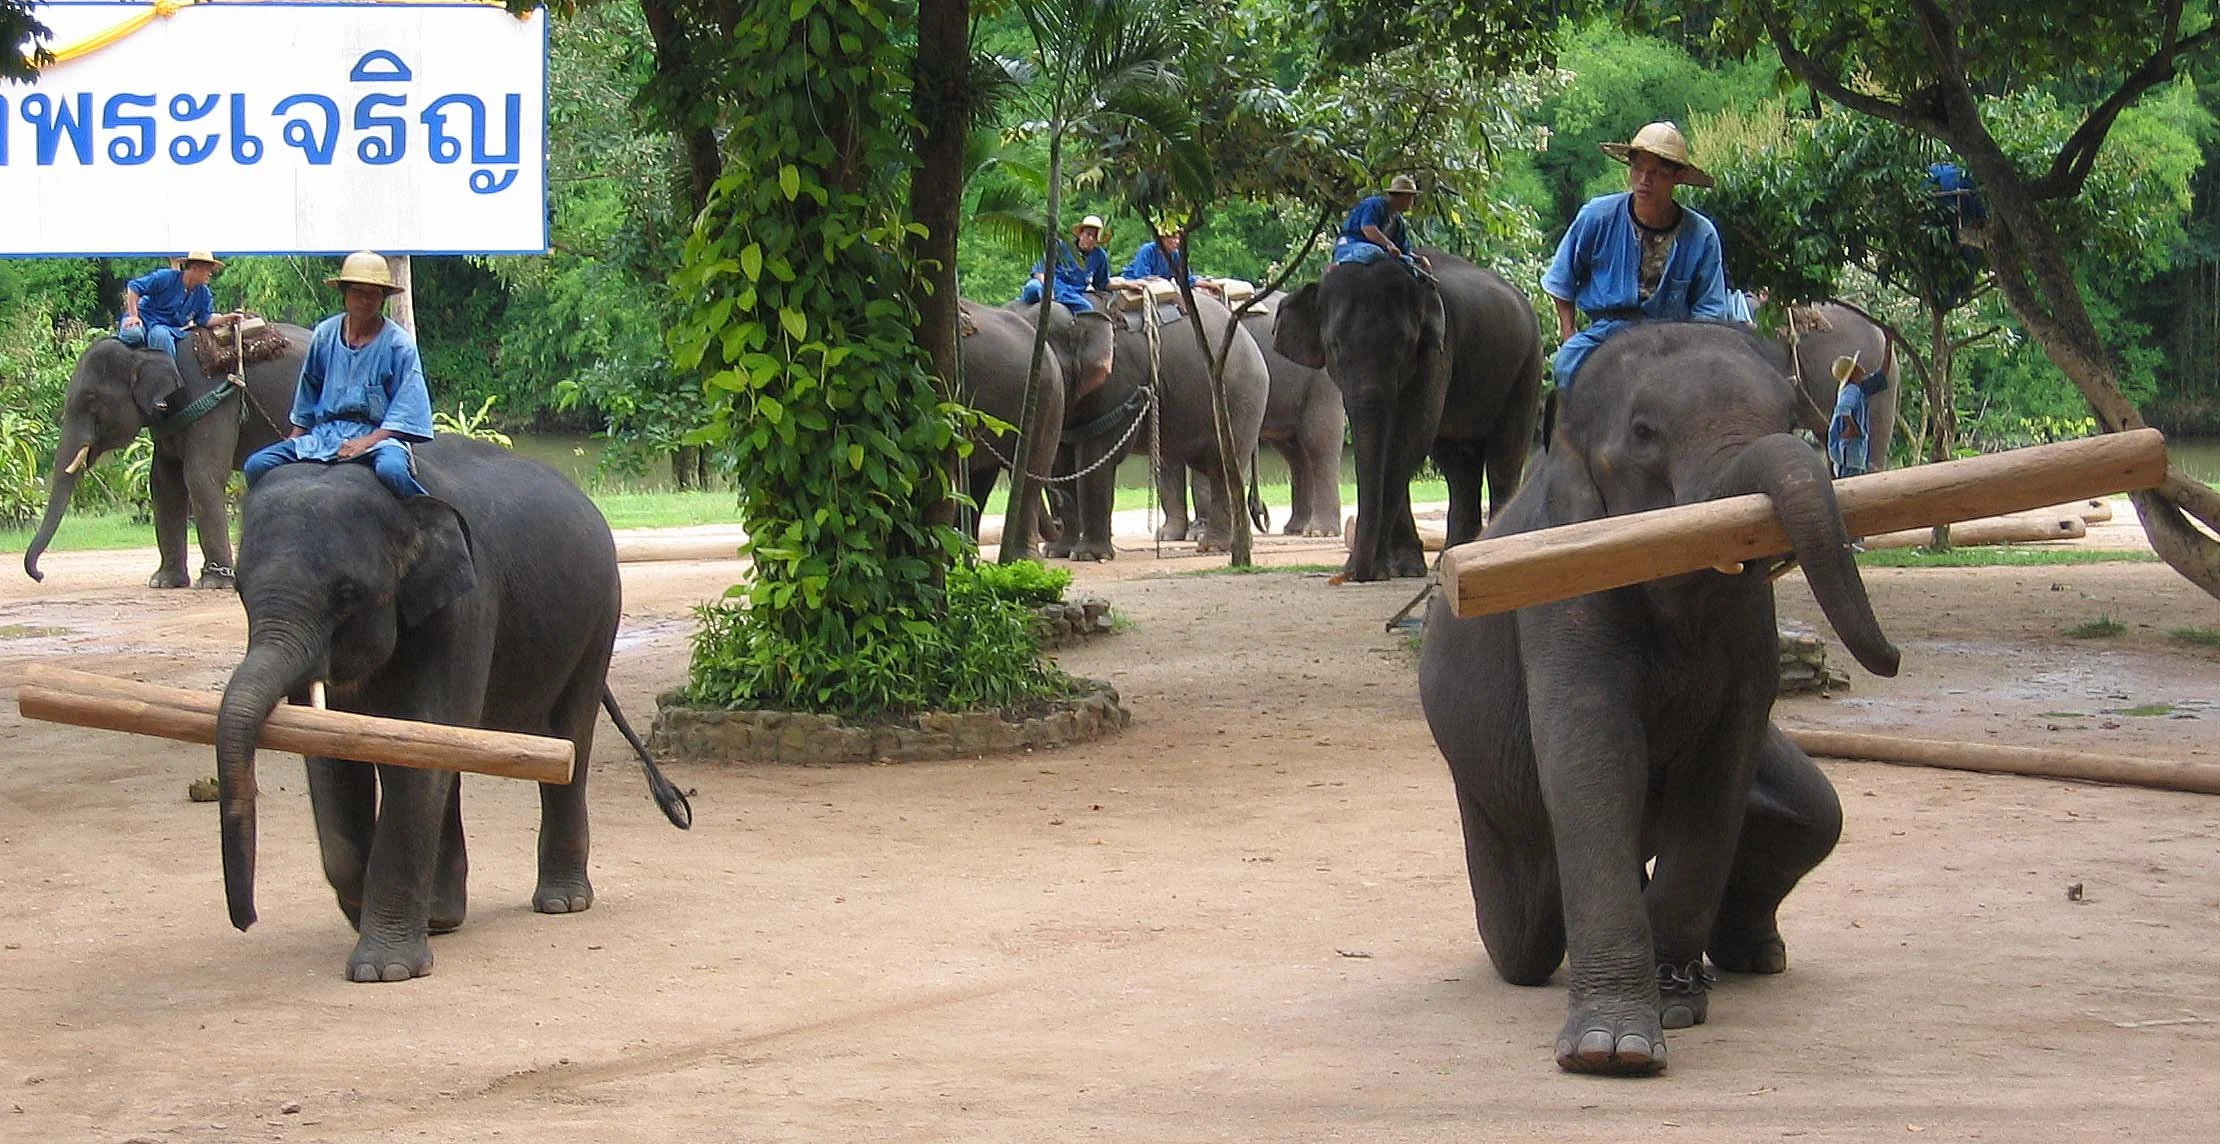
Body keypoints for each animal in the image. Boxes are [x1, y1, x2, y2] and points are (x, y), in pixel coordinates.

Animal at [24, 328, 310, 589]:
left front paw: (215, 583)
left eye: (91, 401)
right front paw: (164, 582)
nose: (40, 575)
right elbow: (164, 483)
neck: (143, 350)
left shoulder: (213, 398)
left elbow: (200, 475)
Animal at [213, 436, 691, 982]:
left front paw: (384, 971)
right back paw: (443, 918)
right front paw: (376, 914)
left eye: (348, 593)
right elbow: (341, 755)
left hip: (599, 617)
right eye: (239, 591)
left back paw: (561, 903)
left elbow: (418, 749)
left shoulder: (466, 608)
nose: (245, 920)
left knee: (570, 736)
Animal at [1022, 292, 1269, 559]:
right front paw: (1056, 553)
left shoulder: (1120, 382)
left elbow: (1095, 457)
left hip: (1241, 398)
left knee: (1221, 467)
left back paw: (1213, 546)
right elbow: (1060, 461)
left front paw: (1089, 556)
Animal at [1275, 249, 1543, 582]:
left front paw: (1387, 569)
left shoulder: (1438, 350)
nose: (1353, 573)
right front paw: (1402, 569)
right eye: (1334, 346)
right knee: (1458, 464)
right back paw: (1449, 559)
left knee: (1504, 458)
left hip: (1527, 365)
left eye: (1404, 346)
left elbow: (1410, 437)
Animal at [1417, 321, 1901, 1075]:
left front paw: (1672, 1001)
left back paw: (1750, 959)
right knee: (1521, 931)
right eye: (1645, 433)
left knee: (1816, 815)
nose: (1894, 661)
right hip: (1479, 790)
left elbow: (1722, 769)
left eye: (1794, 418)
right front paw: (1610, 1053)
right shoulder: (1565, 586)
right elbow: (1595, 759)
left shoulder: (1746, 624)